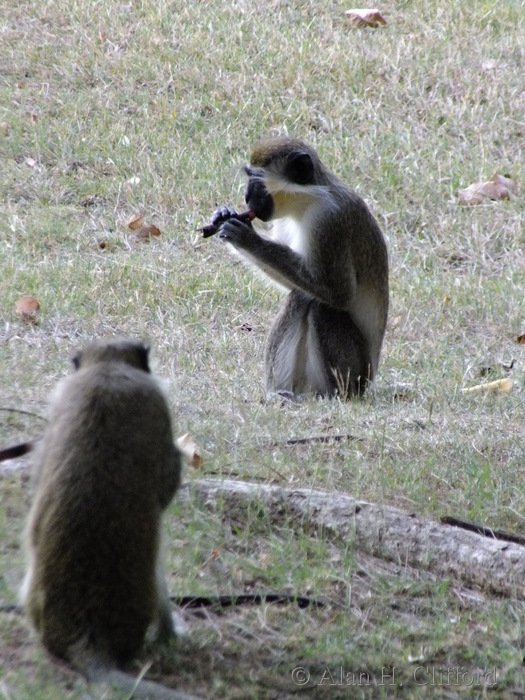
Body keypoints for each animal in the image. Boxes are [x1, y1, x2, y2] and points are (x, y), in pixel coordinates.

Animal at [208, 136, 389, 399]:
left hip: (357, 374)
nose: (246, 197)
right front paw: (225, 215)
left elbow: (339, 293)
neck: (307, 201)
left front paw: (248, 238)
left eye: (257, 180)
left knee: (317, 303)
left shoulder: (329, 222)